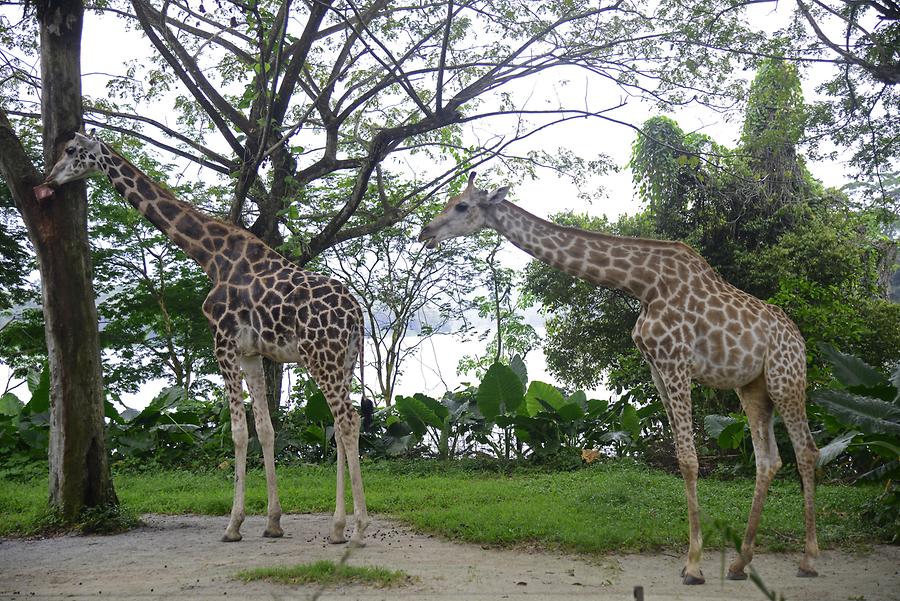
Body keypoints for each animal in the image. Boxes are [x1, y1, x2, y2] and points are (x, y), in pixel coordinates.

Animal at [36, 131, 370, 544]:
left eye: (71, 150)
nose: (49, 179)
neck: (210, 256)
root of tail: (357, 314)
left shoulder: (222, 343)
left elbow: (239, 433)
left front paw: (233, 525)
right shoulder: (250, 352)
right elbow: (265, 430)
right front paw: (273, 522)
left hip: (321, 357)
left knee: (348, 421)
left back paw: (358, 529)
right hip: (342, 361)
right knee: (340, 426)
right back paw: (338, 528)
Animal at [418, 171, 820, 584]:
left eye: (462, 205)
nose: (424, 231)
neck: (642, 283)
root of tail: (799, 339)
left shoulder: (676, 360)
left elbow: (690, 460)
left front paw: (693, 564)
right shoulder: (656, 367)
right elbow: (683, 456)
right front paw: (692, 560)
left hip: (786, 379)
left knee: (807, 450)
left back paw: (808, 560)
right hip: (752, 387)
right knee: (768, 460)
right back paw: (741, 563)